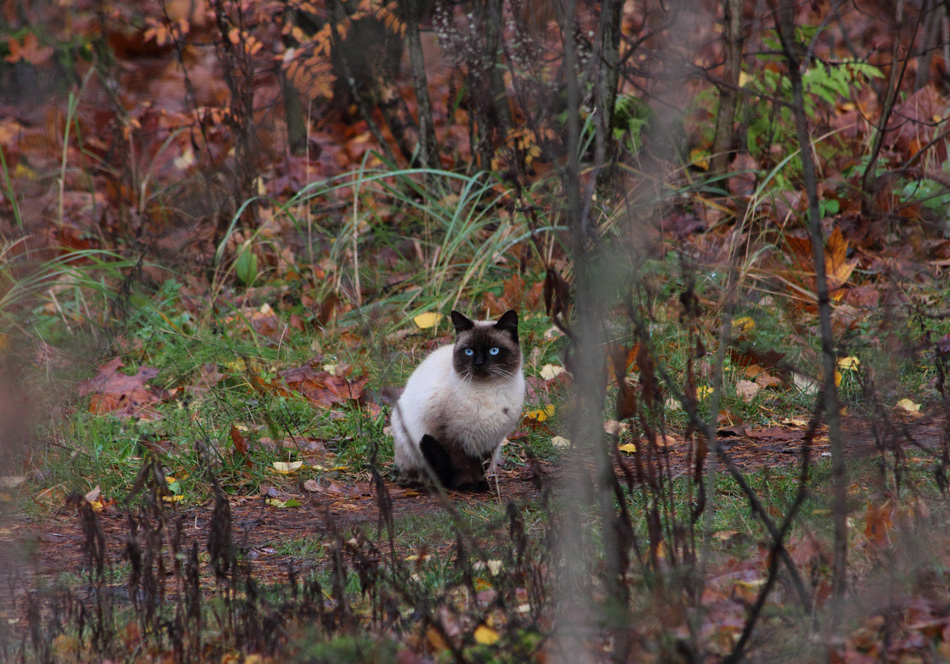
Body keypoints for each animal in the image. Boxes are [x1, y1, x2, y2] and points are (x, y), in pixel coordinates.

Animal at [394, 308, 528, 490]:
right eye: (468, 351)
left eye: (494, 351)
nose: (479, 363)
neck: (488, 392)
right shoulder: (450, 437)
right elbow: (461, 465)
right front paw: (465, 486)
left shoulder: (491, 439)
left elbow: (481, 465)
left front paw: (481, 485)